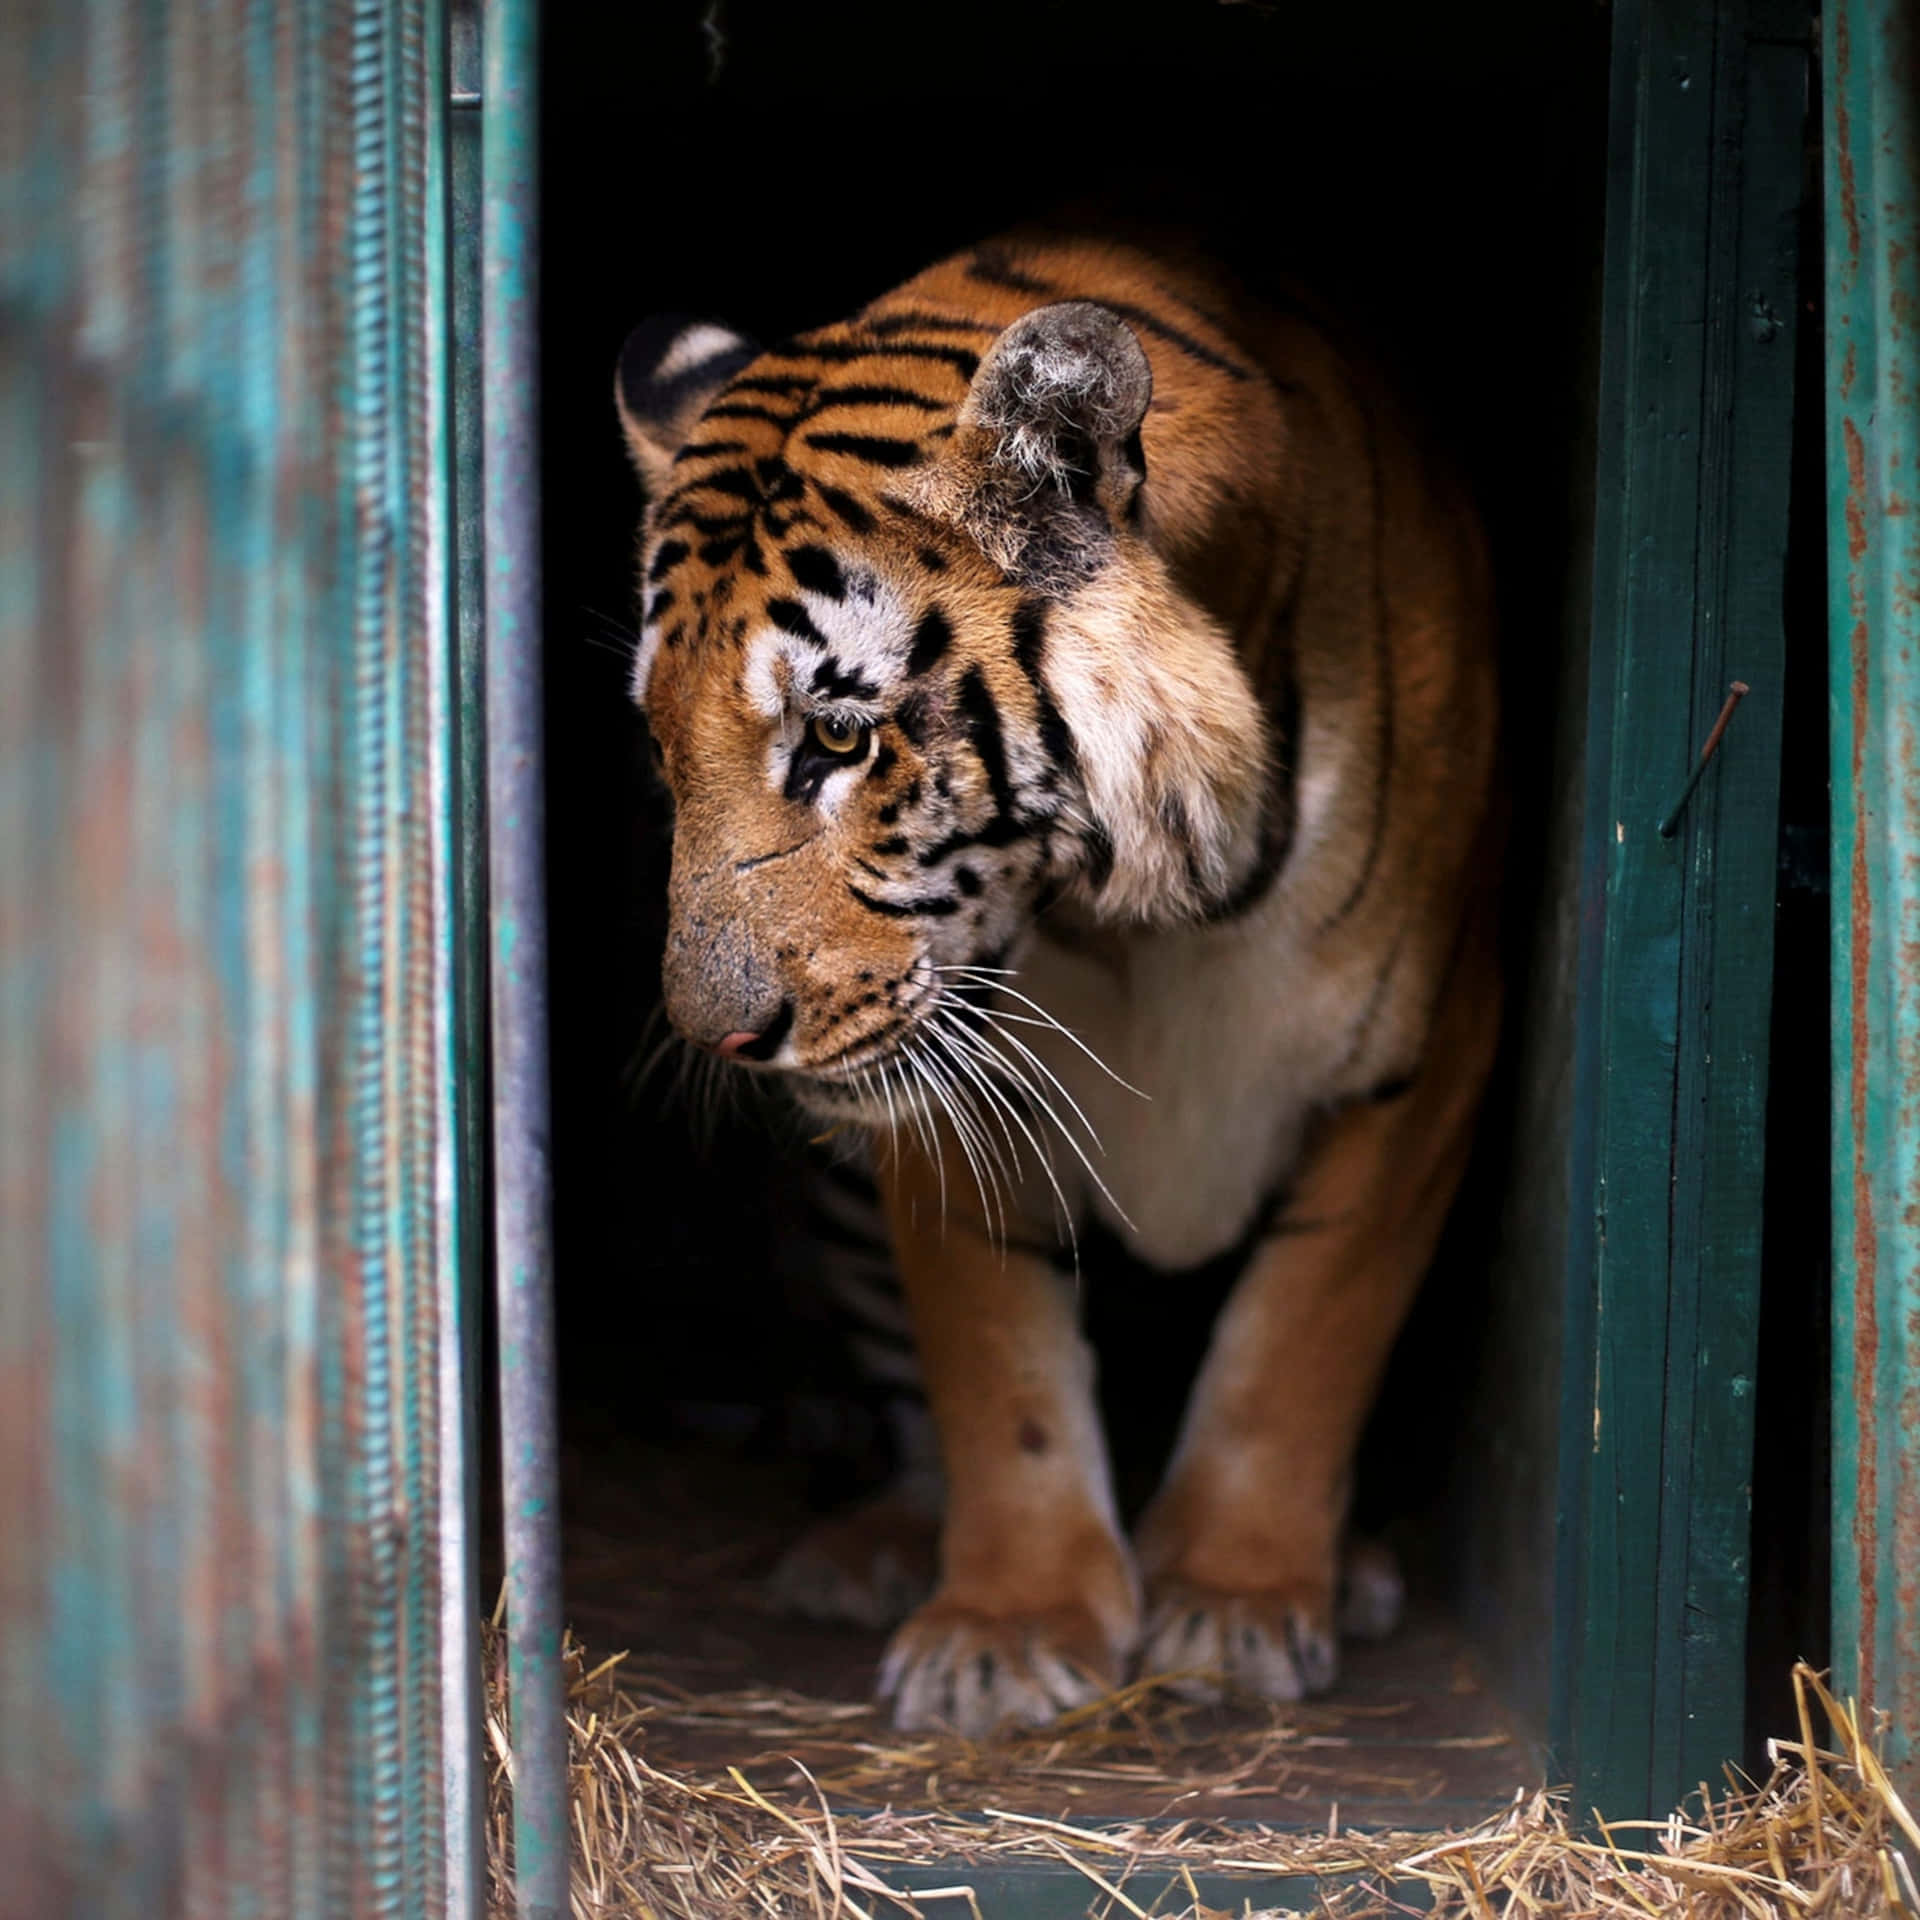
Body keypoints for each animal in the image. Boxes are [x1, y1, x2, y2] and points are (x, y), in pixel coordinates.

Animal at [614, 233, 1502, 1735]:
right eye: (665, 746)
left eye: (838, 739)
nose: (724, 1037)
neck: (1134, 917)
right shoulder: (935, 1075)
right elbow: (996, 1368)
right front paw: (1008, 1636)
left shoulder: (1421, 1047)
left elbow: (1304, 1330)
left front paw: (1236, 1604)